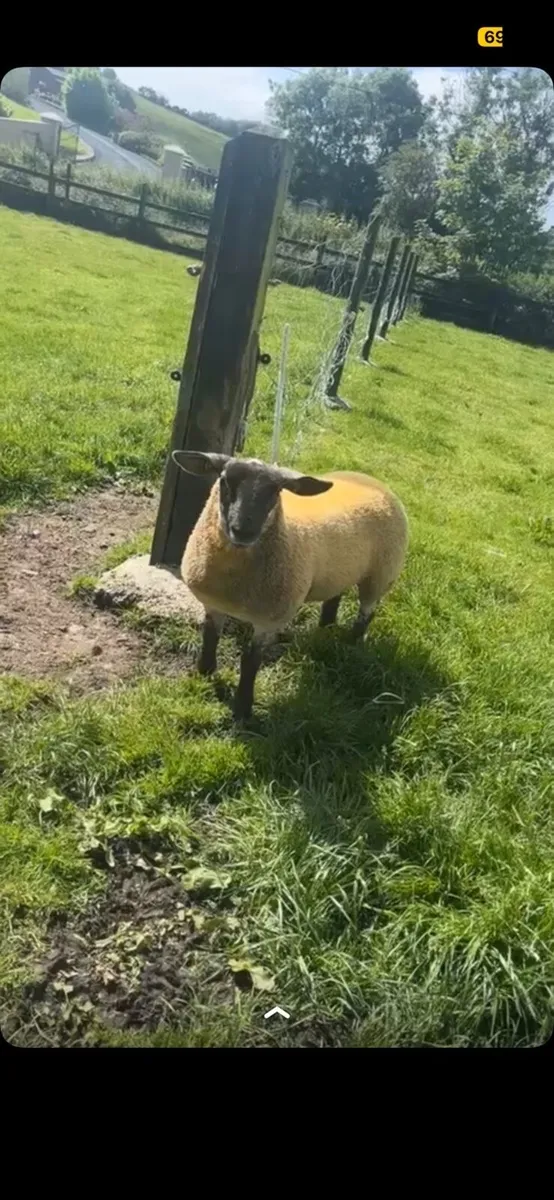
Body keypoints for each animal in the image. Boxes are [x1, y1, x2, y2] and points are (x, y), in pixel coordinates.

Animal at [172, 451, 409, 720]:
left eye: (276, 490)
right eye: (224, 480)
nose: (243, 531)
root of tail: (373, 480)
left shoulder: (269, 619)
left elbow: (250, 661)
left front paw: (243, 709)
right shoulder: (213, 604)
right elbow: (210, 638)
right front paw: (204, 674)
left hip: (381, 574)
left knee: (366, 613)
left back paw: (352, 645)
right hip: (338, 571)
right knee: (334, 599)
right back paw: (325, 631)